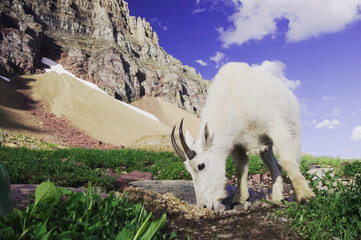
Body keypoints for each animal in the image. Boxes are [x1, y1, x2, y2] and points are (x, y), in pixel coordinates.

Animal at [170, 62, 314, 210]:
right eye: (188, 170)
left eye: (201, 166)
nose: (203, 206)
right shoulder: (236, 144)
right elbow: (241, 169)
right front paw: (240, 198)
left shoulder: (276, 127)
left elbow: (287, 161)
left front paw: (306, 196)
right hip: (266, 146)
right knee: (274, 166)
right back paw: (277, 198)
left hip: (293, 129)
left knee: (294, 159)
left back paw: (296, 195)